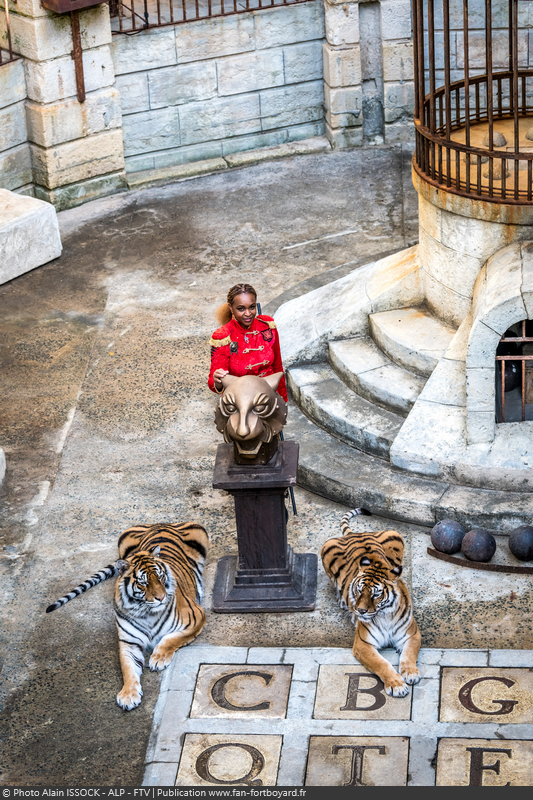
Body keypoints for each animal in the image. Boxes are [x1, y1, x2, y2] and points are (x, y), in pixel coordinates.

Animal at [46, 520, 208, 708]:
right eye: (143, 583)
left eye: (160, 577)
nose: (161, 598)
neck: (146, 612)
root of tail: (160, 523)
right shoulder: (128, 642)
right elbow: (128, 668)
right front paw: (128, 695)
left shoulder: (196, 616)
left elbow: (171, 638)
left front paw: (158, 658)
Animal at [320, 510, 420, 696]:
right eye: (359, 590)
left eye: (376, 594)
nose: (360, 611)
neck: (386, 615)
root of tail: (356, 534)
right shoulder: (363, 644)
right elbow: (382, 664)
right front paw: (397, 685)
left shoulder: (412, 634)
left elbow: (409, 654)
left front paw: (410, 672)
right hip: (326, 547)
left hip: (395, 534)